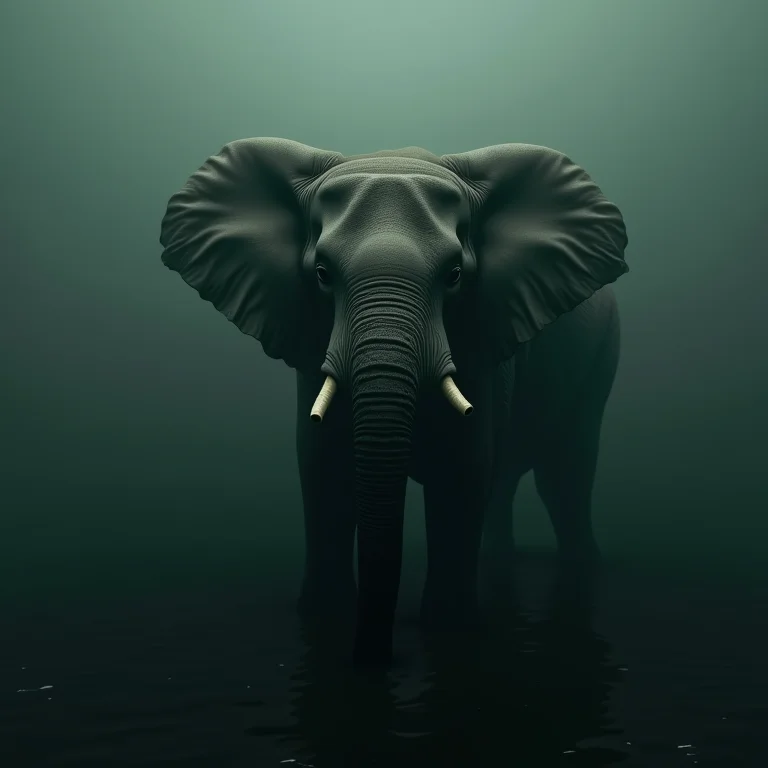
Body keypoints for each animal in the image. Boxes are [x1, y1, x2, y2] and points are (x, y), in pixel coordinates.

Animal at [159, 138, 629, 669]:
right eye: (321, 274)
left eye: (454, 275)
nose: (378, 658)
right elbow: (323, 465)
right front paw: (325, 618)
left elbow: (463, 468)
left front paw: (450, 629)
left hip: (601, 358)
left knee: (564, 474)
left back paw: (581, 569)